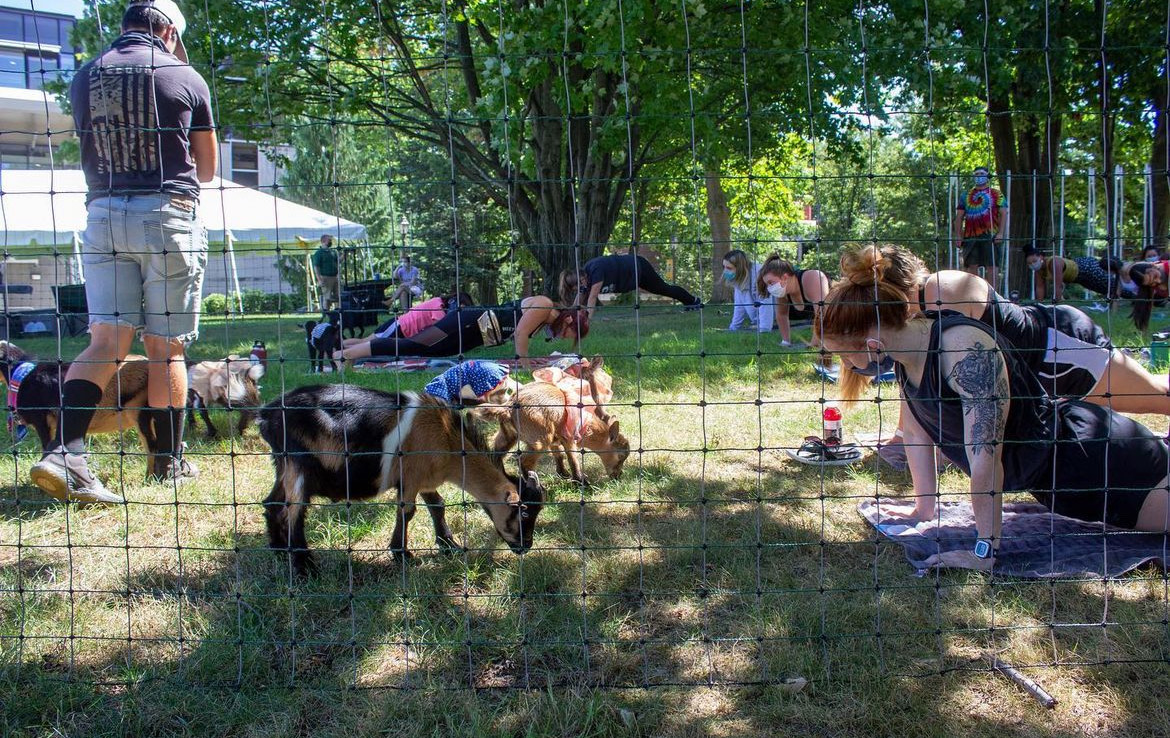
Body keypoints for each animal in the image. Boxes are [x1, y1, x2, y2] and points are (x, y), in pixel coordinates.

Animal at [258, 385, 545, 577]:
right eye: (523, 513)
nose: (526, 546)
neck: (447, 438)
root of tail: (266, 414)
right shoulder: (410, 477)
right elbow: (407, 511)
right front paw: (402, 554)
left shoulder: (426, 480)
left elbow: (437, 506)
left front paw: (449, 545)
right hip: (297, 465)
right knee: (294, 511)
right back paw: (304, 566)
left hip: (282, 465)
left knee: (272, 504)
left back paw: (279, 551)